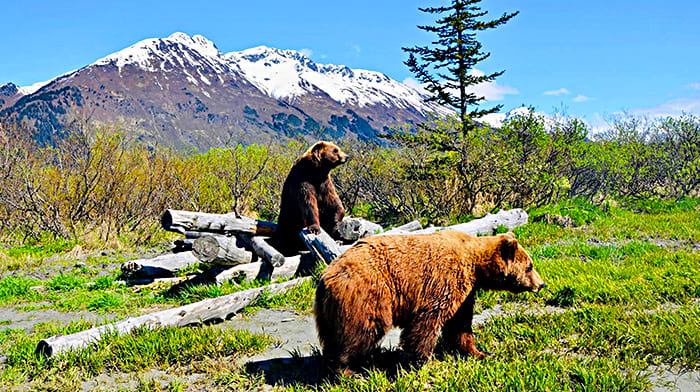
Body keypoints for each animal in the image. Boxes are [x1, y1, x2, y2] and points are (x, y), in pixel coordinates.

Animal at [314, 231, 548, 372]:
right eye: (529, 266)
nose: (542, 284)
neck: (475, 265)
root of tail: (326, 276)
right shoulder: (444, 278)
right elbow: (428, 321)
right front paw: (422, 361)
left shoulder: (465, 293)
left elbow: (461, 324)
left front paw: (479, 352)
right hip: (367, 294)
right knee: (362, 330)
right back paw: (348, 370)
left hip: (329, 311)